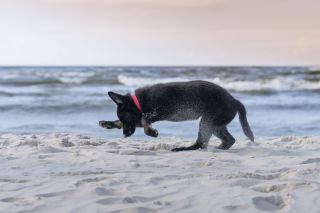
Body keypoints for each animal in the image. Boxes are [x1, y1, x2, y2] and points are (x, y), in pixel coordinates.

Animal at [99, 80, 254, 151]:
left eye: (125, 117)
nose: (125, 135)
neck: (139, 102)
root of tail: (234, 100)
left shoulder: (161, 110)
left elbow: (145, 119)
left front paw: (151, 132)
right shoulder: (140, 118)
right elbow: (140, 120)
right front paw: (107, 123)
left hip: (207, 122)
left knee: (201, 144)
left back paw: (182, 148)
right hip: (215, 125)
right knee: (229, 140)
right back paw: (220, 147)